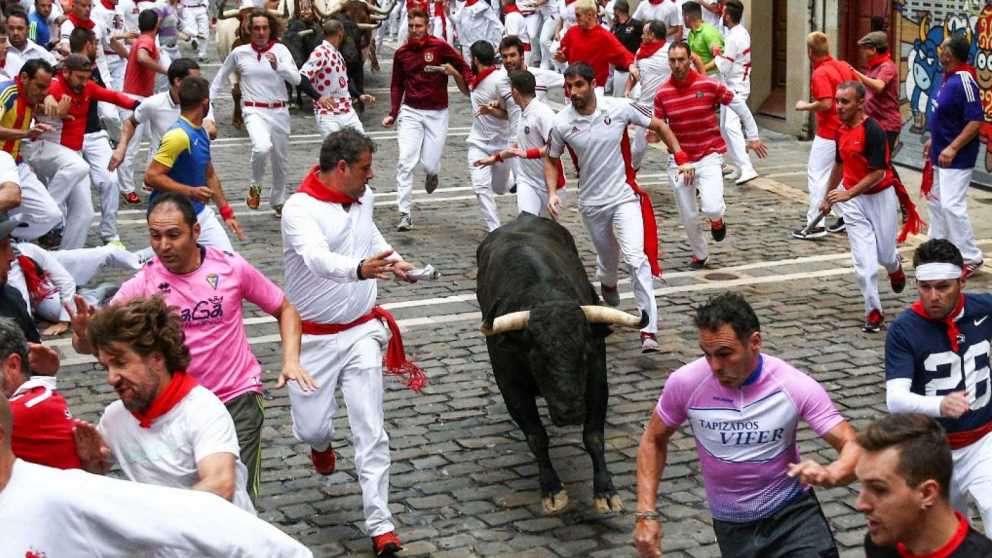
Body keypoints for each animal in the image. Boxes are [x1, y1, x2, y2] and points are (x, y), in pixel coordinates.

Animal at [476, 215, 648, 516]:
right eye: (536, 357)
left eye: (584, 352)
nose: (569, 413)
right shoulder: (511, 387)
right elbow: (536, 436)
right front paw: (552, 489)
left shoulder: (596, 379)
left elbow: (593, 436)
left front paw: (606, 492)